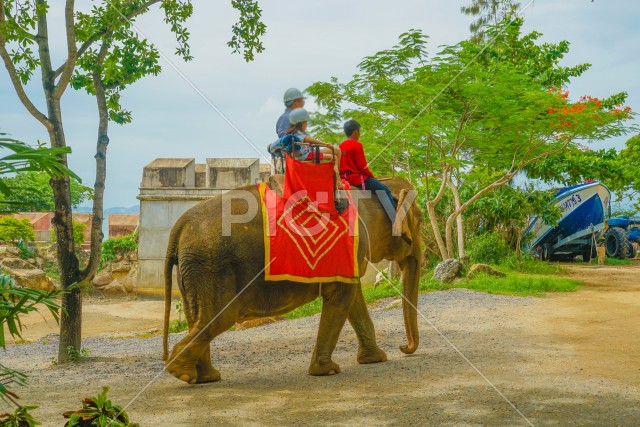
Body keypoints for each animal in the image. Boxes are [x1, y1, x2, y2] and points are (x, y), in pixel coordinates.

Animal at [162, 177, 422, 384]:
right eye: (419, 221)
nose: (403, 348)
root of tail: (178, 228)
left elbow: (352, 297)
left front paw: (376, 359)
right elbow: (342, 296)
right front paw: (328, 371)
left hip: (194, 271)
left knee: (197, 318)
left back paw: (203, 377)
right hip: (212, 267)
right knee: (220, 317)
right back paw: (182, 372)